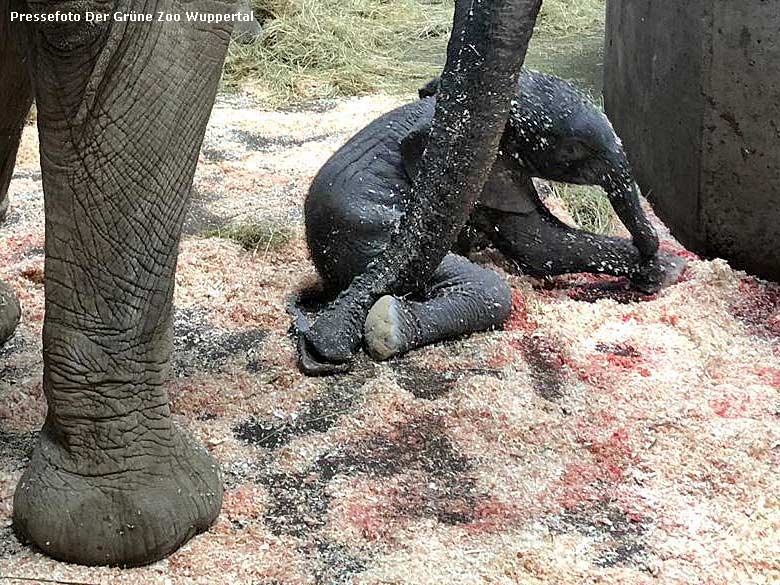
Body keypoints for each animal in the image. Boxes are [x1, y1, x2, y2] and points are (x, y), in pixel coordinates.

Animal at [304, 68, 684, 360]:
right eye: (573, 152)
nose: (650, 242)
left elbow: (539, 240)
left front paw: (666, 269)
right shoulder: (487, 171)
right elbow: (538, 245)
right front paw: (664, 267)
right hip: (369, 236)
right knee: (489, 289)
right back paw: (388, 326)